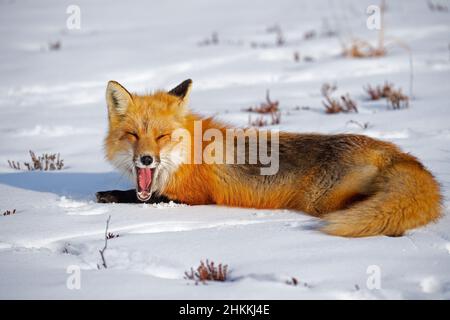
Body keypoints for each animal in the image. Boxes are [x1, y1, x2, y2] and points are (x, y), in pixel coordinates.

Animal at [97, 78, 442, 236]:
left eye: (161, 137)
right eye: (133, 135)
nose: (146, 160)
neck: (190, 154)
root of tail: (397, 152)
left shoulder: (195, 197)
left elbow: (143, 198)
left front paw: (109, 195)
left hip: (325, 201)